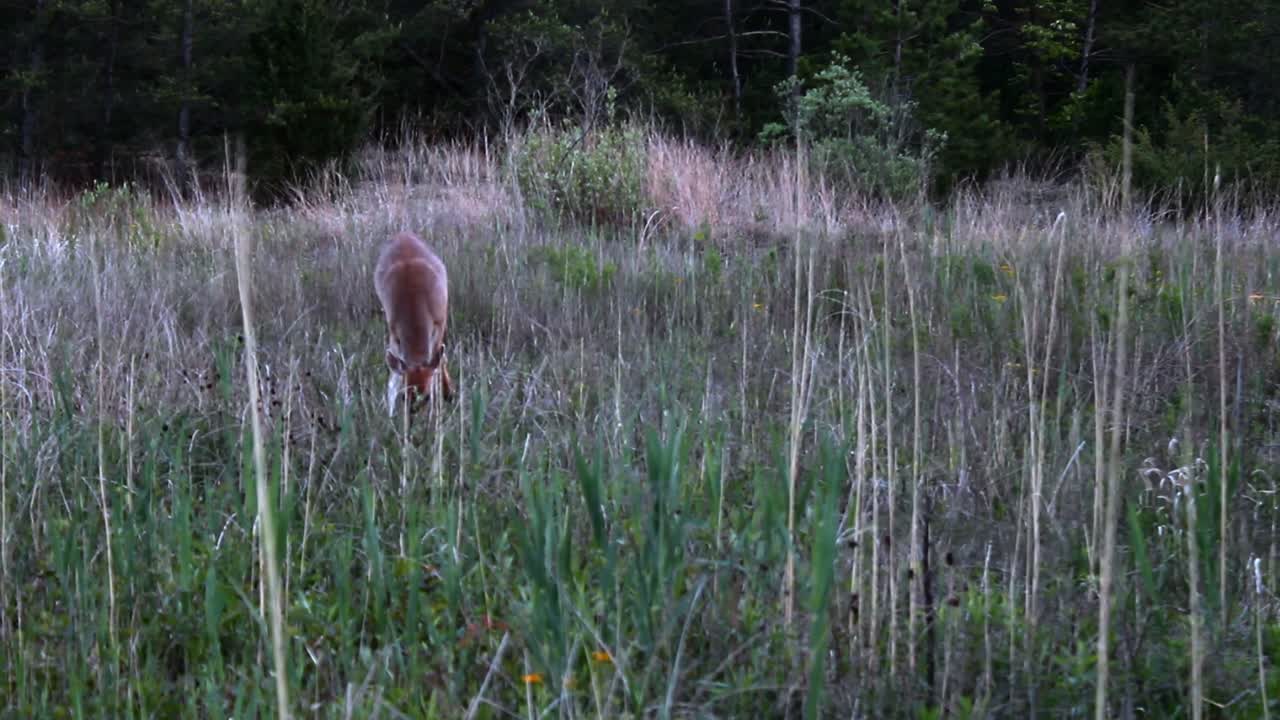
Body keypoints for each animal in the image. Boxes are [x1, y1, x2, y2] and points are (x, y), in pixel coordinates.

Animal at [374, 231, 454, 416]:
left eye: (427, 396)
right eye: (403, 396)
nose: (411, 415)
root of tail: (403, 234)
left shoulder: (440, 322)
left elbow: (440, 360)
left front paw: (447, 394)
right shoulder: (393, 329)